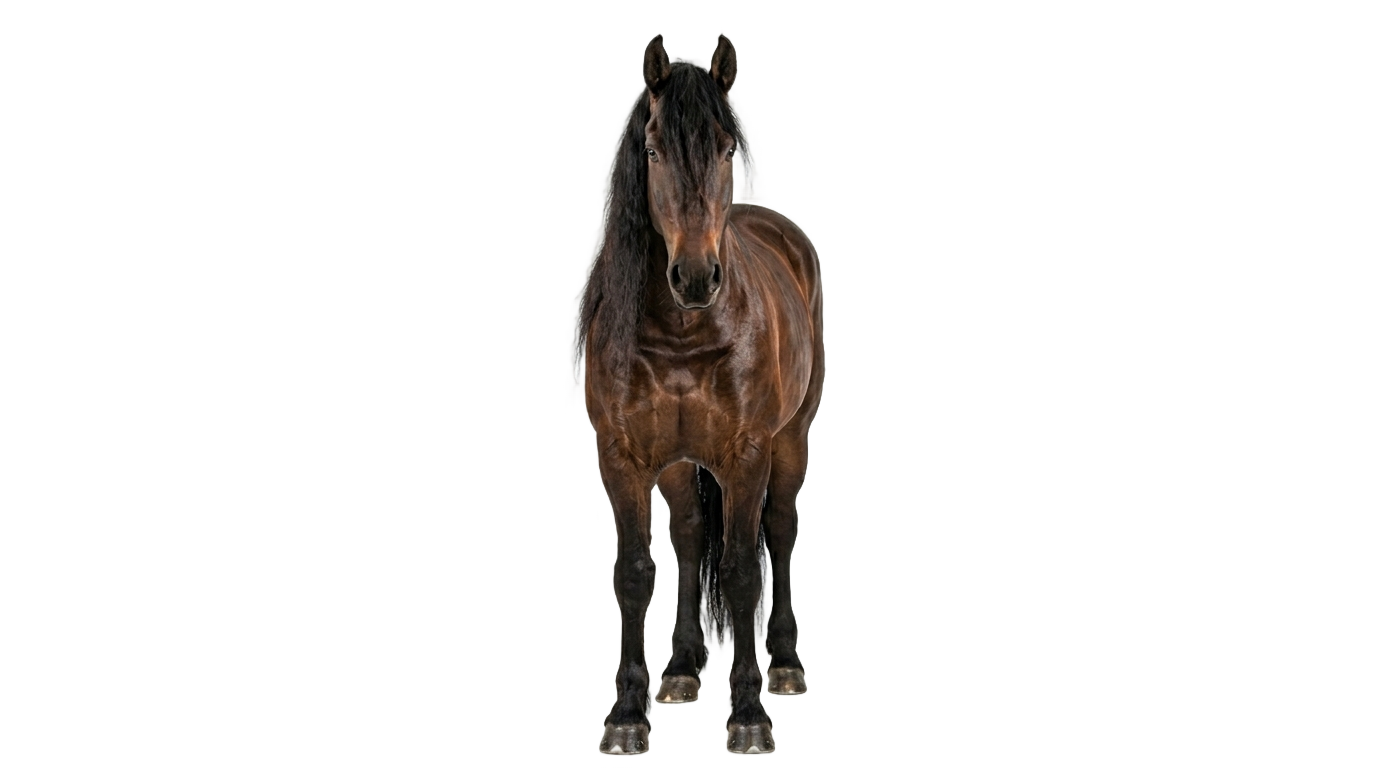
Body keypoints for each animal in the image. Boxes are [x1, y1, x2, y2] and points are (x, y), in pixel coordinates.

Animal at [576, 34, 823, 754]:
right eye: (654, 150)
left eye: (726, 147)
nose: (693, 276)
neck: (681, 331)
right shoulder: (622, 456)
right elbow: (636, 570)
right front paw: (627, 716)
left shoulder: (747, 454)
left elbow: (741, 570)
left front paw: (748, 716)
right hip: (680, 465)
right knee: (688, 540)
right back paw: (682, 669)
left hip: (791, 439)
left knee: (779, 531)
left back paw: (784, 665)